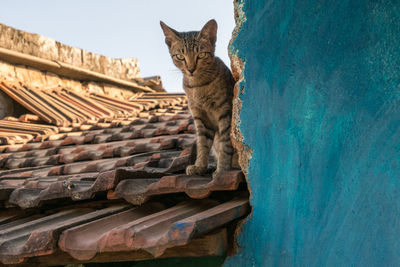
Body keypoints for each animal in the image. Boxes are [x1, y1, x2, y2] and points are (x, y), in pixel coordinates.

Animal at [160, 18, 238, 178]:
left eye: (201, 55)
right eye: (180, 57)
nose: (190, 69)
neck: (198, 86)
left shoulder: (225, 112)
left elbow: (225, 143)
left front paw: (222, 170)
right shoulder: (201, 117)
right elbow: (202, 143)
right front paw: (200, 166)